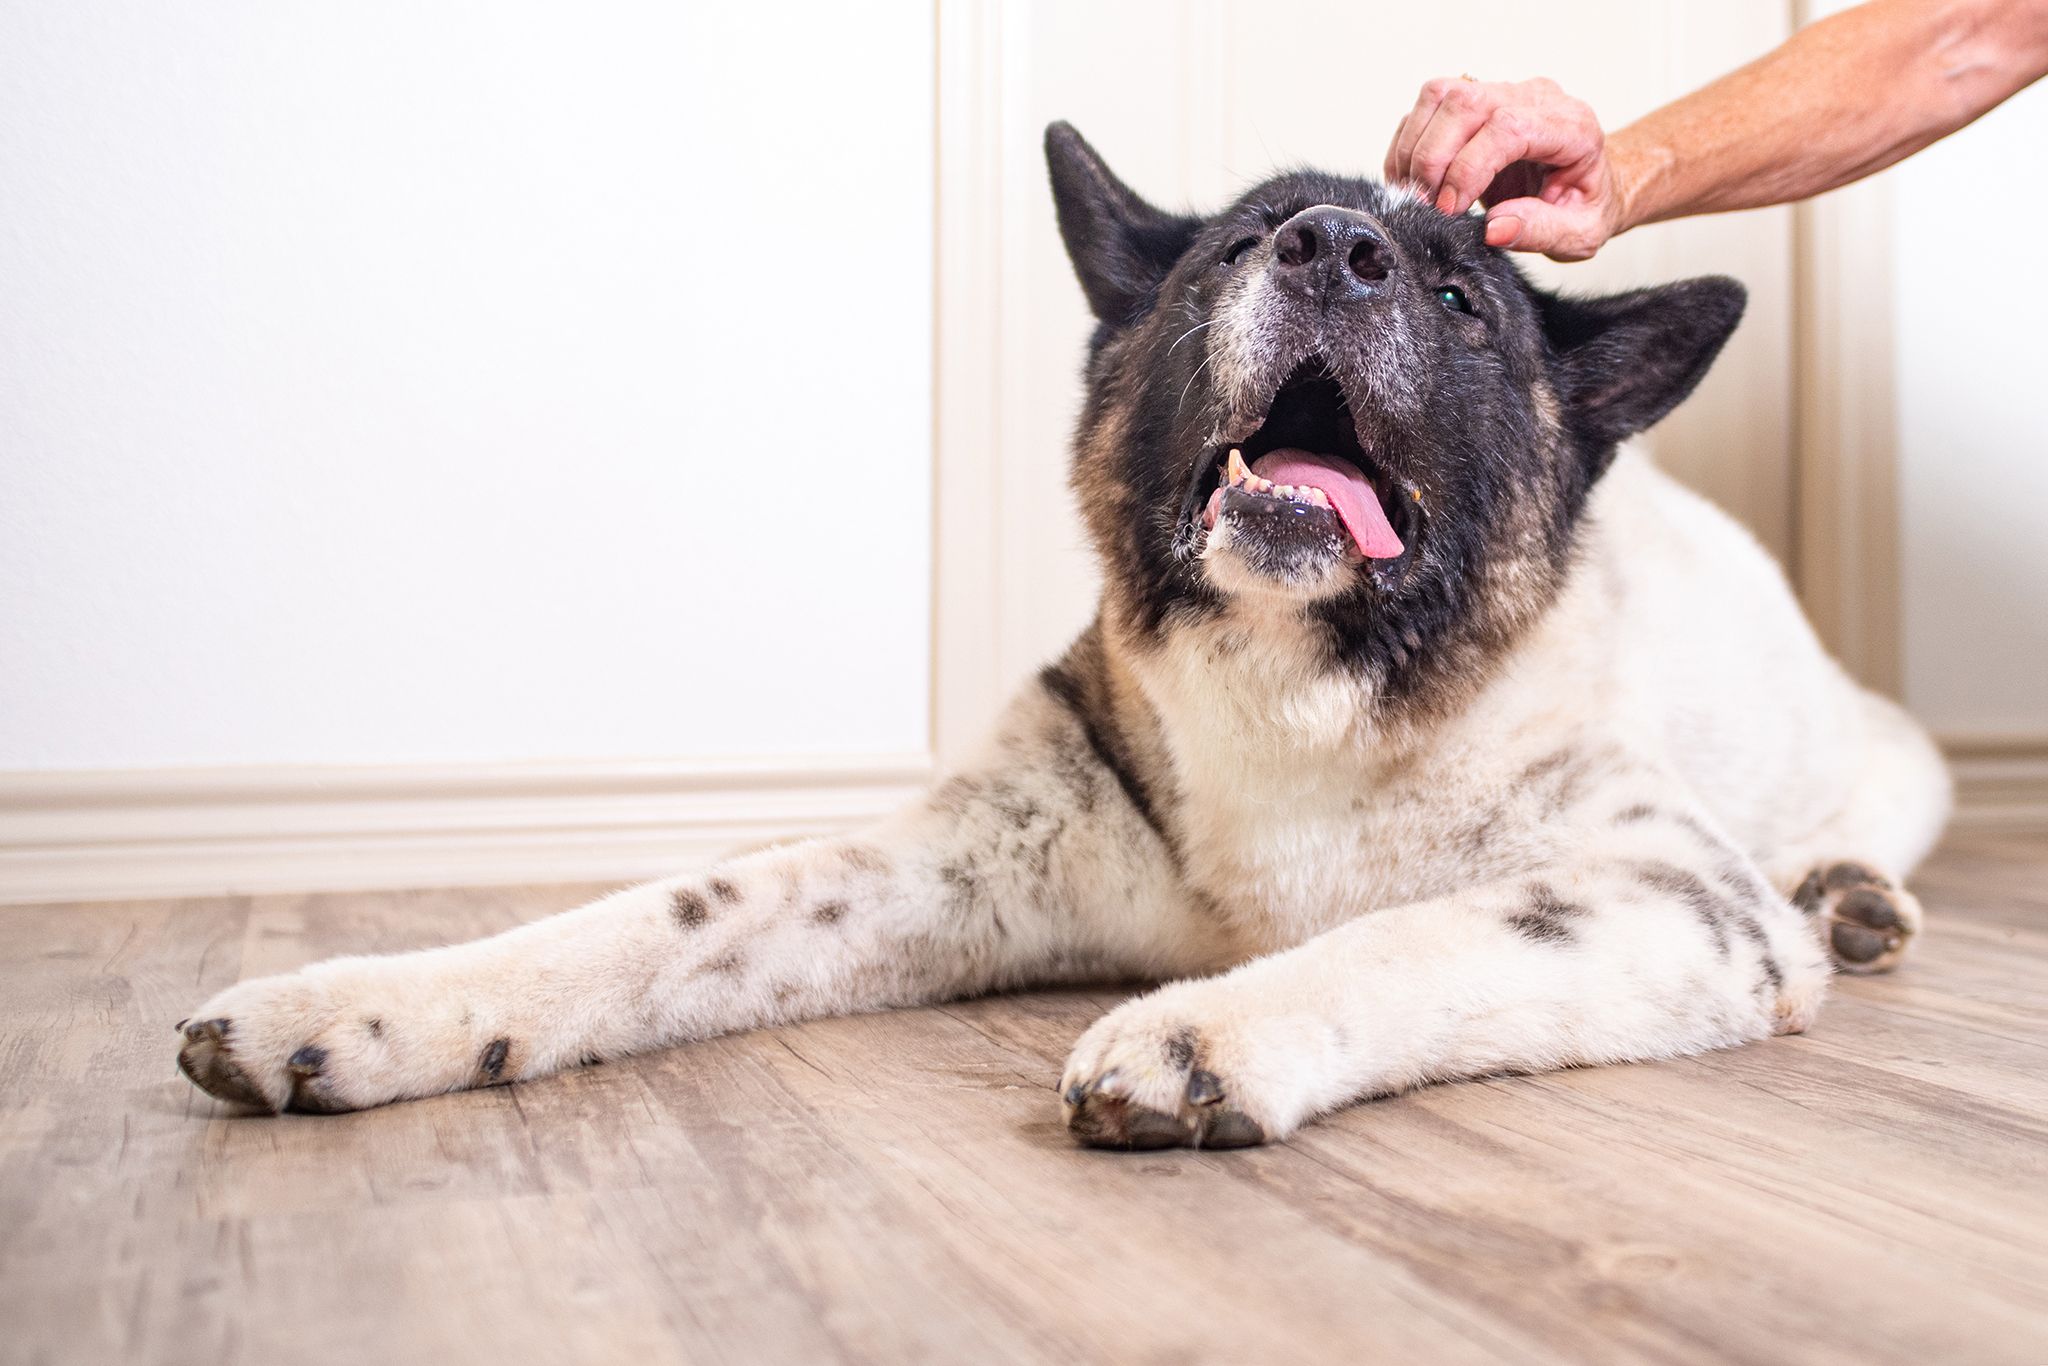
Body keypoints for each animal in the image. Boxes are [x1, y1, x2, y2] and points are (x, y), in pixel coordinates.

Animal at [176, 125, 1949, 1155]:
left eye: (1459, 299)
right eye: (1239, 245)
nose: (1335, 249)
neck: (1302, 688)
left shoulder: (1671, 897)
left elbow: (1418, 935)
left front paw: (1210, 1025)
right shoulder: (952, 858)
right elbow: (658, 915)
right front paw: (366, 1005)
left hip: (1878, 756)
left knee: (1867, 807)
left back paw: (1851, 893)